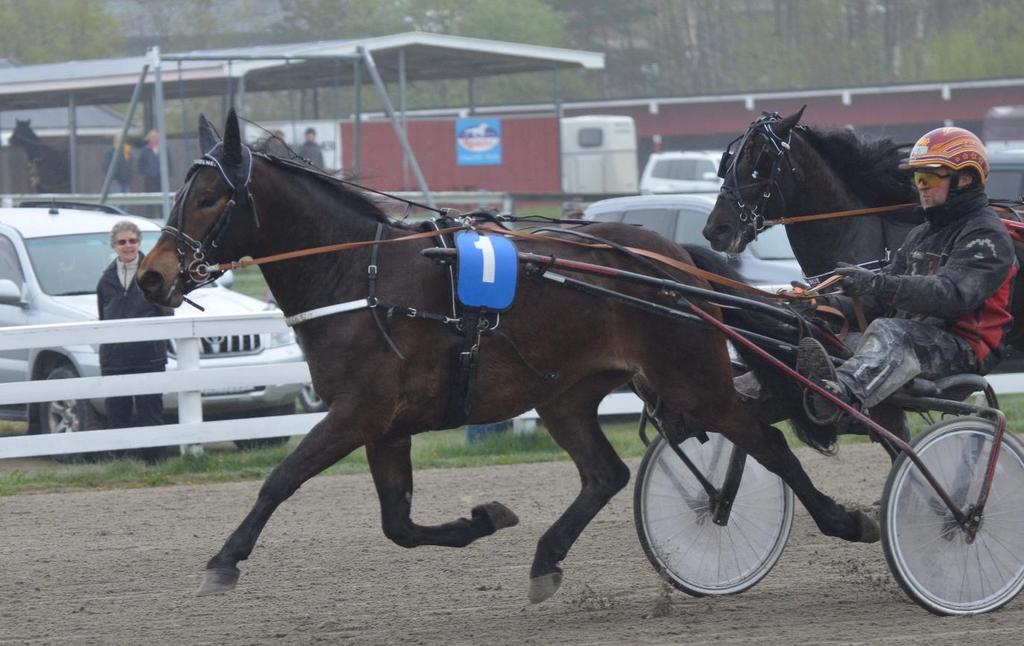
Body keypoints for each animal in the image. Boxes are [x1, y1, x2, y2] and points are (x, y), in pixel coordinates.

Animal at [138, 111, 880, 601]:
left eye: (208, 197)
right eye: (179, 193)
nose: (150, 276)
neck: (361, 278)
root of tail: (676, 259)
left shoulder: (357, 413)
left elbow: (281, 479)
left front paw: (224, 560)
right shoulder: (386, 427)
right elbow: (398, 525)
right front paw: (483, 519)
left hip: (695, 381)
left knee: (767, 443)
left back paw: (844, 519)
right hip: (566, 394)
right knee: (606, 473)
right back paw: (546, 558)